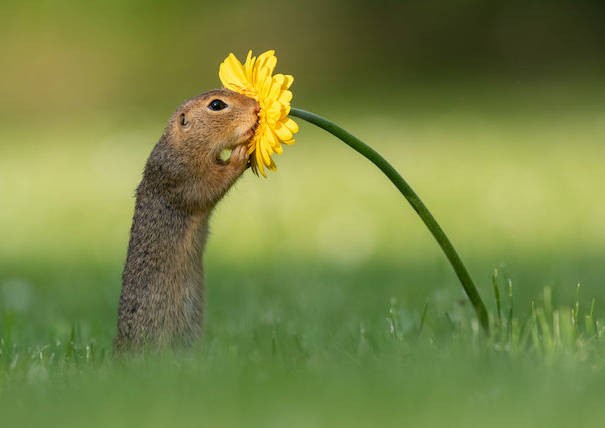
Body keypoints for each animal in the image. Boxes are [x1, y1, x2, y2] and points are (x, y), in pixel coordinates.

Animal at [114, 88, 258, 350]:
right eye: (216, 105)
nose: (256, 107)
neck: (182, 145)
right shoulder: (183, 176)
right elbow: (210, 186)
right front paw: (240, 155)